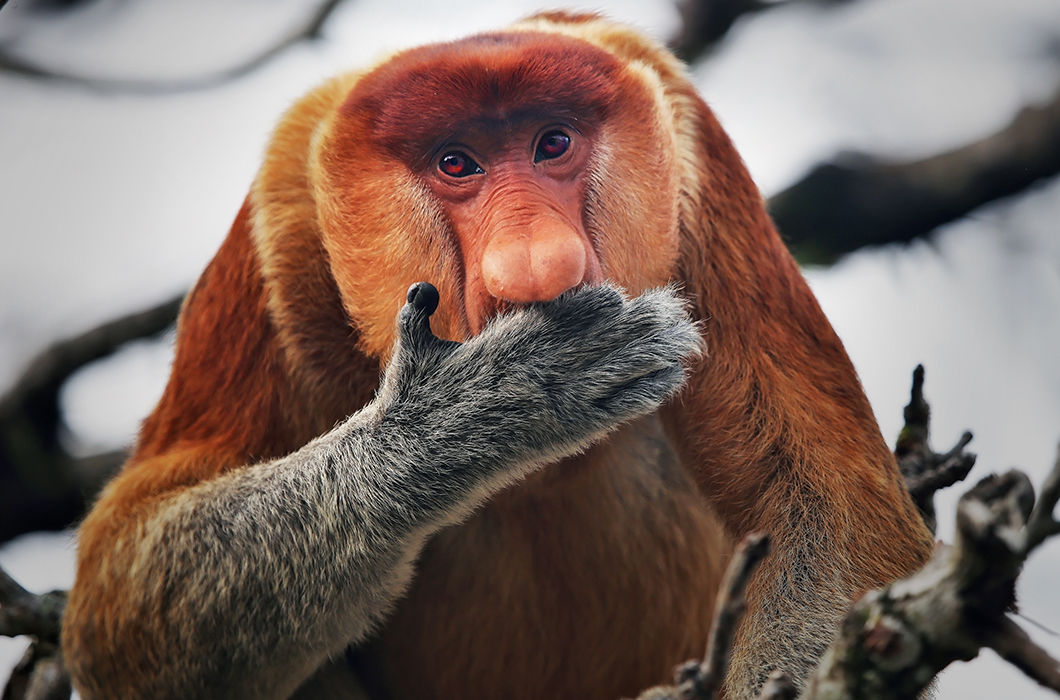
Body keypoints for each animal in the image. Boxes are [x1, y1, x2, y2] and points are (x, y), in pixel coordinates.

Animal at [62, 12, 932, 699]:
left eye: (553, 142)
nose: (538, 266)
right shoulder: (279, 226)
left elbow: (829, 517)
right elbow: (119, 601)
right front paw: (500, 401)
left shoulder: (695, 154)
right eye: (457, 163)